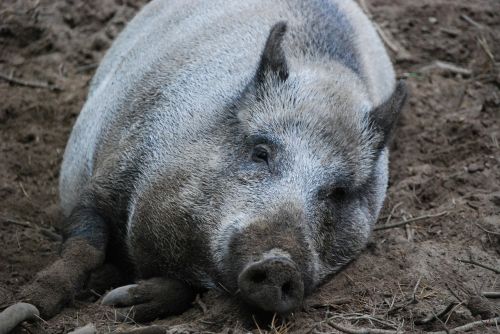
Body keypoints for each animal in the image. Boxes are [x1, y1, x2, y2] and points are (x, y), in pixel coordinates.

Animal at [16, 0, 406, 324]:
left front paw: (120, 303)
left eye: (339, 192)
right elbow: (83, 244)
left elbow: (184, 289)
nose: (279, 262)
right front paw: (32, 305)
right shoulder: (111, 169)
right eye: (260, 152)